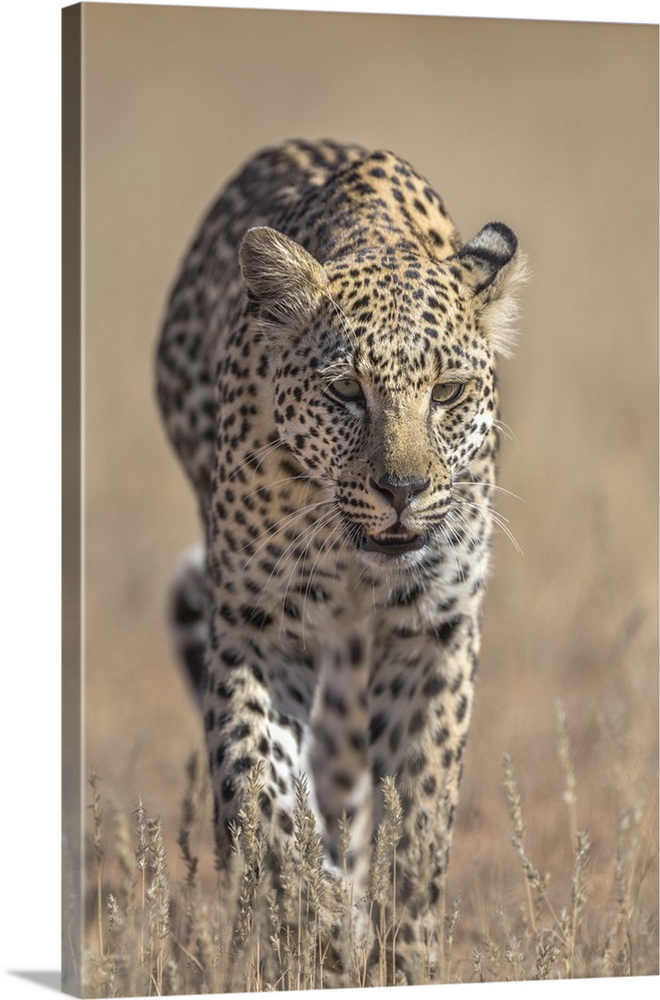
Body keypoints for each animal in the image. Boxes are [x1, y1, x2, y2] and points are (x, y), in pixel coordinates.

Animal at [155, 137, 524, 980]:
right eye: (346, 393)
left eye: (448, 391)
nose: (403, 490)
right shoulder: (257, 626)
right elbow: (259, 793)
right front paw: (309, 923)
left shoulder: (434, 631)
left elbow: (418, 820)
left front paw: (403, 957)